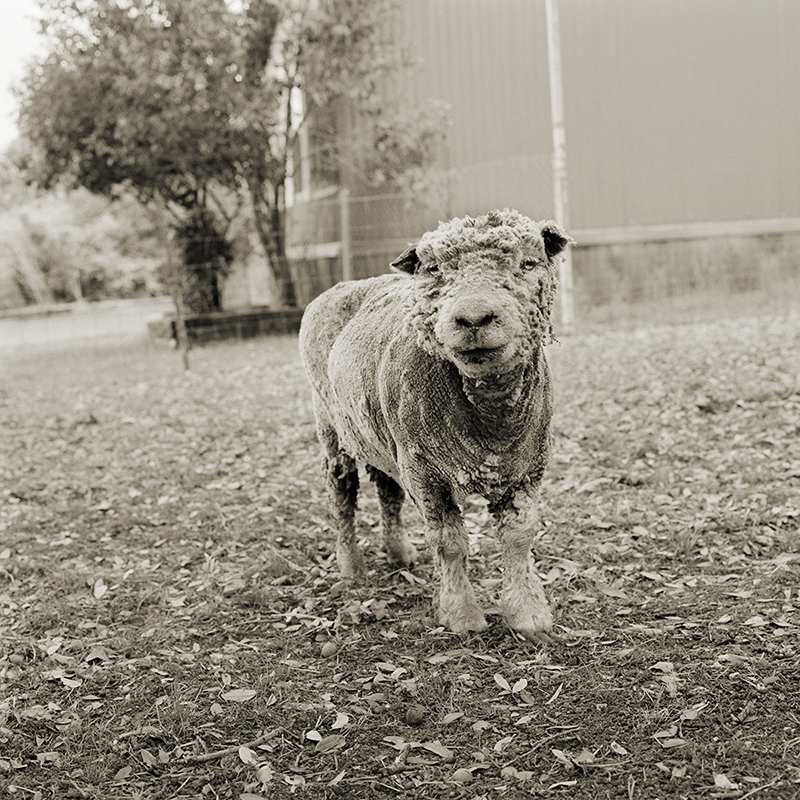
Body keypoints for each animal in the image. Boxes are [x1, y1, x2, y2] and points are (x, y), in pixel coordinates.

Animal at [296, 209, 572, 640]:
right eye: (434, 270)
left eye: (528, 263)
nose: (473, 318)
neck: (490, 420)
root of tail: (348, 284)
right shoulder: (426, 473)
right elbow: (449, 543)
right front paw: (461, 617)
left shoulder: (525, 468)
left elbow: (519, 537)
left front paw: (529, 615)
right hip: (331, 427)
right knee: (342, 494)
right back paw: (352, 568)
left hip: (382, 436)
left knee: (387, 491)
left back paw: (399, 553)